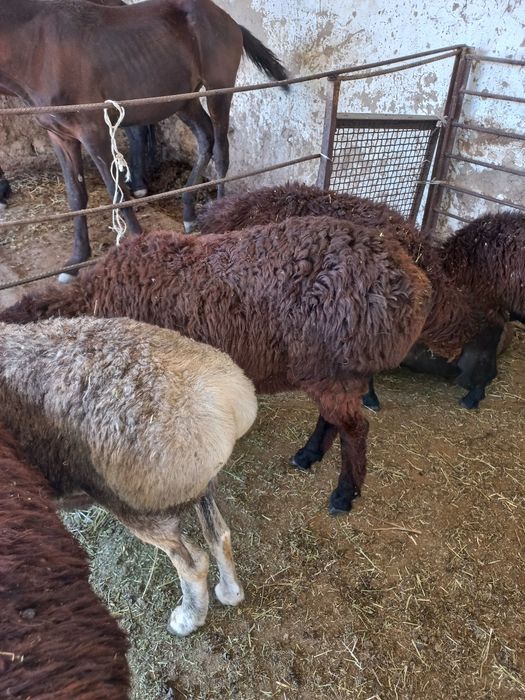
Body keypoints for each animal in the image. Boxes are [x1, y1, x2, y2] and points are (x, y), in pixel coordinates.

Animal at [0, 216, 432, 513]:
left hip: (330, 367)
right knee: (334, 419)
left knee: (356, 428)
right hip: (329, 368)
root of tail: (410, 282)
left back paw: (344, 494)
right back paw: (308, 455)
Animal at [0, 316, 257, 635]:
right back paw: (230, 592)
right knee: (218, 534)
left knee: (193, 562)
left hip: (136, 504)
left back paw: (187, 619)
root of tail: (225, 395)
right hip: (197, 484)